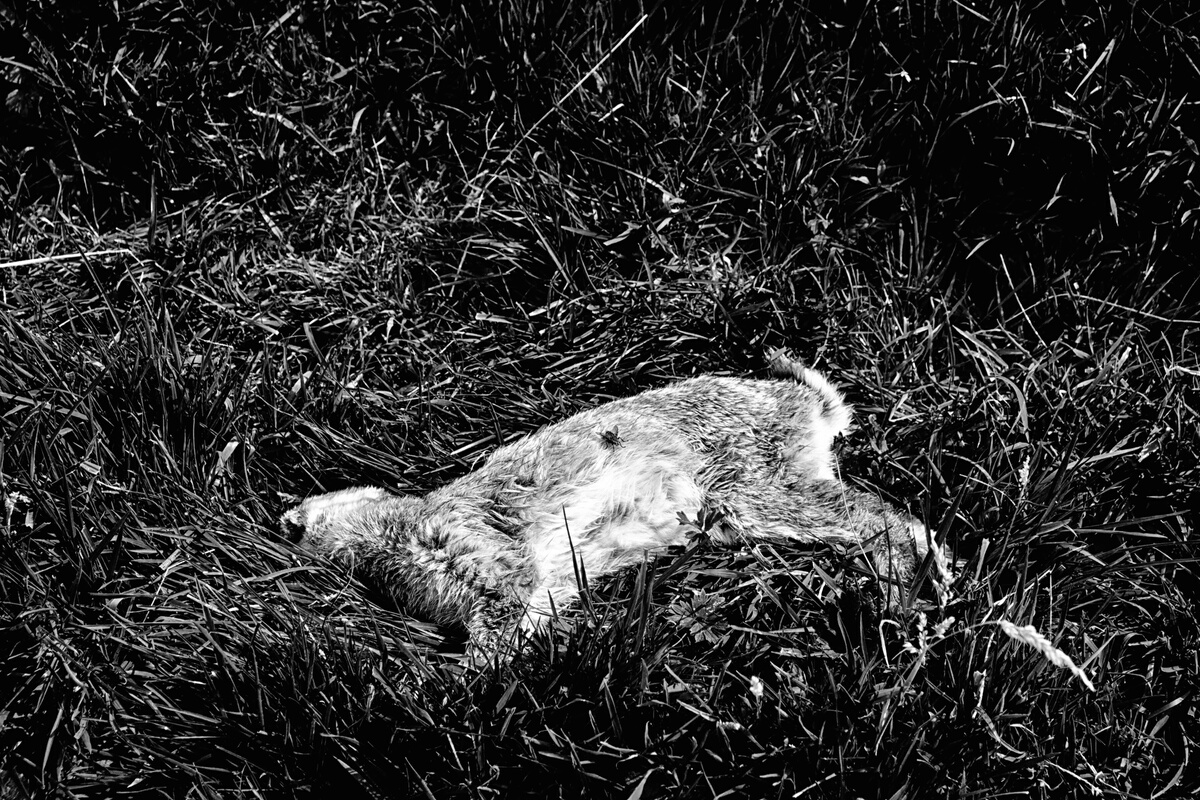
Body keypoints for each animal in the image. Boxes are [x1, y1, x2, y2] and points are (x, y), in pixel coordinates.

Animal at [280, 350, 935, 663]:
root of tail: (807, 404)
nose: (289, 521)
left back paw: (912, 602)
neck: (392, 528)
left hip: (754, 489)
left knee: (888, 522)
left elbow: (493, 642)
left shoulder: (492, 568)